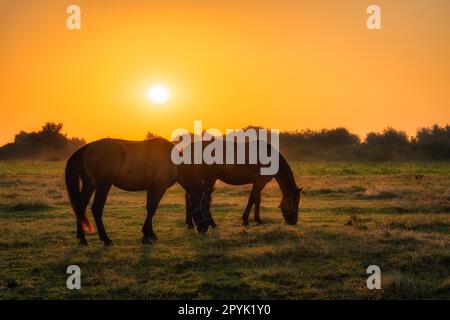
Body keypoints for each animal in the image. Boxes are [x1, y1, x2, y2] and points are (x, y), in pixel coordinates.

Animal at [65, 137, 213, 245]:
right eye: (205, 205)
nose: (205, 227)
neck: (174, 161)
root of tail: (88, 147)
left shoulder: (151, 188)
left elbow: (149, 208)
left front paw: (149, 234)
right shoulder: (159, 187)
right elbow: (152, 208)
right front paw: (147, 236)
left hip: (89, 185)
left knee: (80, 207)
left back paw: (82, 239)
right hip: (103, 186)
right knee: (96, 209)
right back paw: (105, 239)